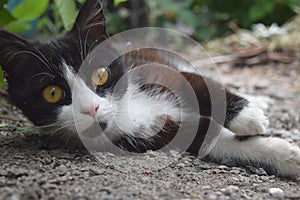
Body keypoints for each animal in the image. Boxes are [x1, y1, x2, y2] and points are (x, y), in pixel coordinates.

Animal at [0, 0, 298, 178]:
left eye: (100, 74)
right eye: (52, 93)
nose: (91, 108)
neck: (128, 108)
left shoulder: (157, 70)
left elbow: (204, 86)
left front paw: (249, 117)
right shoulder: (150, 137)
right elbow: (209, 138)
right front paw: (285, 155)